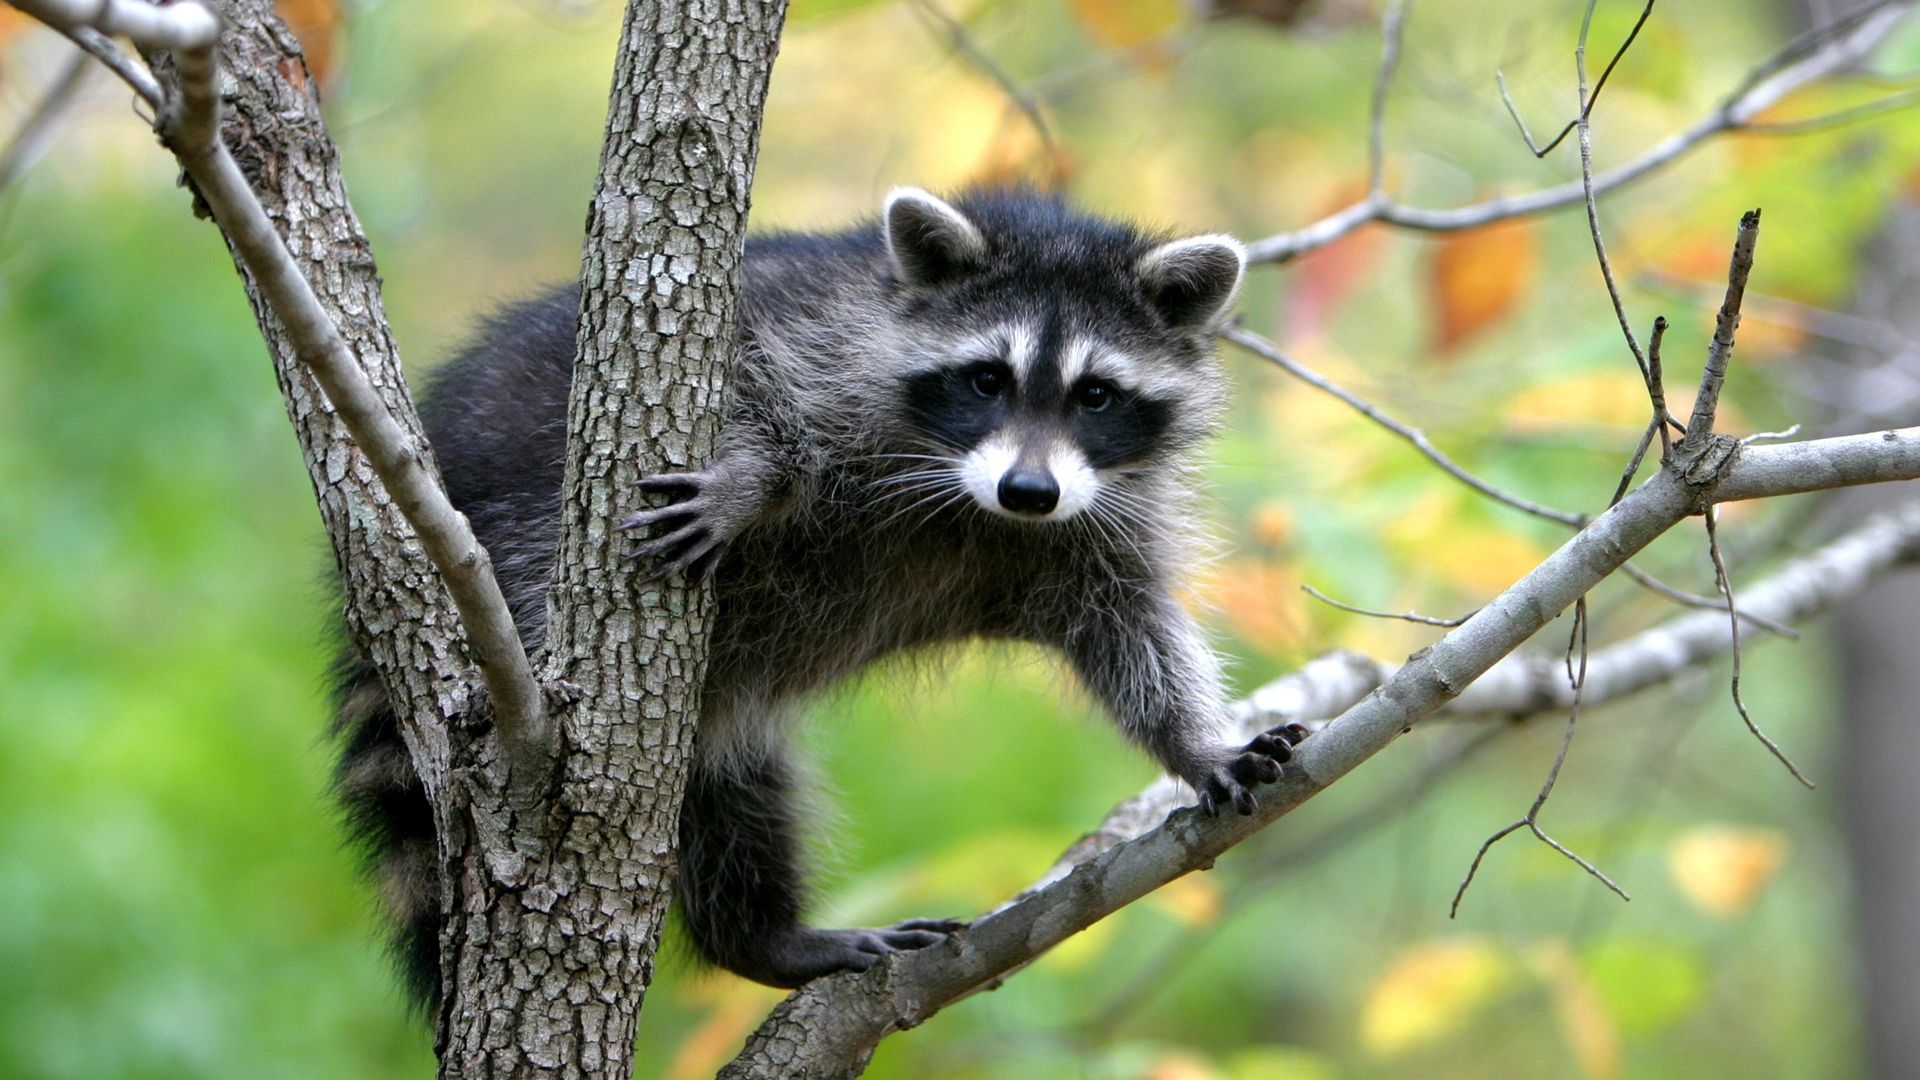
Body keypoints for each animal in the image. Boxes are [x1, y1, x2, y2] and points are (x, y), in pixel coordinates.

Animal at [337, 182, 1313, 999]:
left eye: (1097, 396)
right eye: (986, 379)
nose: (1029, 491)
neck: (975, 504)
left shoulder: (1095, 525)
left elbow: (1131, 633)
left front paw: (1197, 743)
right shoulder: (815, 332)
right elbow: (751, 375)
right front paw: (752, 477)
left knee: (733, 797)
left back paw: (760, 937)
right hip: (520, 526)